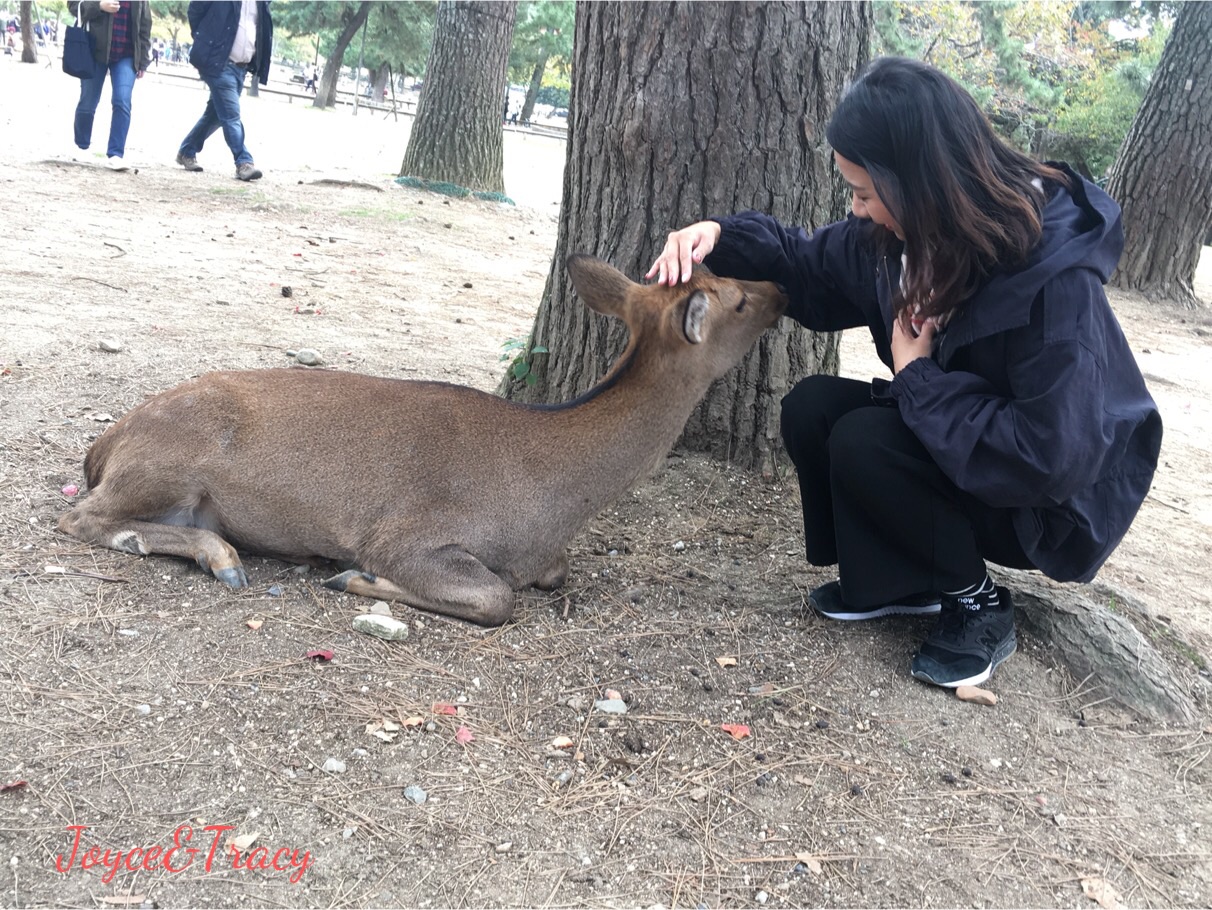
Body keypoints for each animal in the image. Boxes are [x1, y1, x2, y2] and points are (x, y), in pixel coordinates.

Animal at [61, 256, 790, 625]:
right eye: (735, 299)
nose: (779, 285)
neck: (552, 495)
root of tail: (105, 444)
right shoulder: (409, 534)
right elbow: (496, 599)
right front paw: (354, 578)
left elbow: (550, 574)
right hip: (169, 462)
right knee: (82, 516)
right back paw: (220, 557)